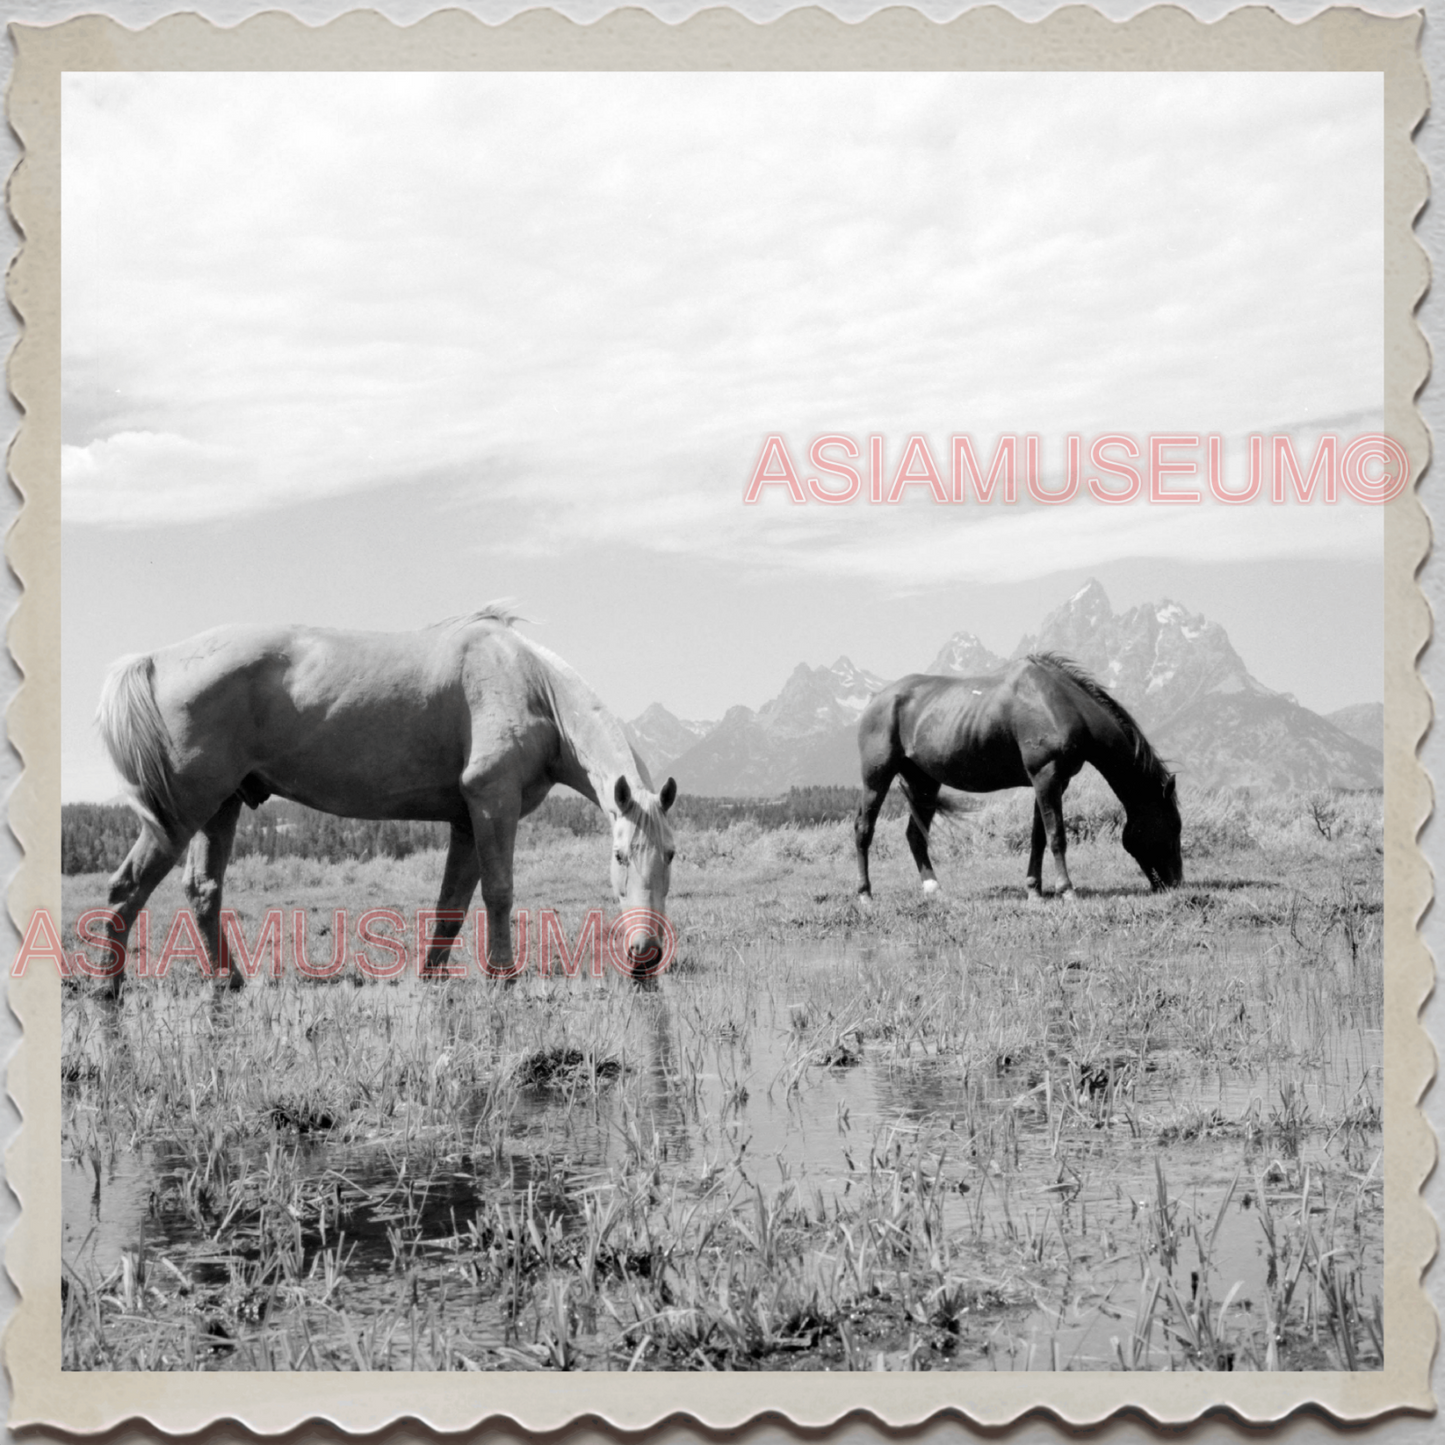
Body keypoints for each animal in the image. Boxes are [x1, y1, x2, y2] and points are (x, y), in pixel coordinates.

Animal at [94, 604, 676, 999]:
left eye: (671, 855)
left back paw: (228, 980)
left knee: (202, 890)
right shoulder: (493, 804)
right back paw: (106, 987)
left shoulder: (467, 820)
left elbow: (451, 903)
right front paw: (502, 975)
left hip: (221, 806)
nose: (645, 955)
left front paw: (433, 974)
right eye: (620, 855)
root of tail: (155, 660)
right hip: (180, 813)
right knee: (129, 885)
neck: (527, 681)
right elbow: (499, 892)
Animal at [849, 656, 1179, 901]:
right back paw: (865, 894)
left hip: (924, 784)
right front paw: (1066, 890)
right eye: (1173, 827)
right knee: (864, 829)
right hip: (876, 778)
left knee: (915, 836)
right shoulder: (1046, 776)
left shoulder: (1052, 781)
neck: (1062, 703)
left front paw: (1035, 890)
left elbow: (1038, 837)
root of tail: (876, 700)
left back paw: (934, 890)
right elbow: (1056, 835)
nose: (1175, 883)